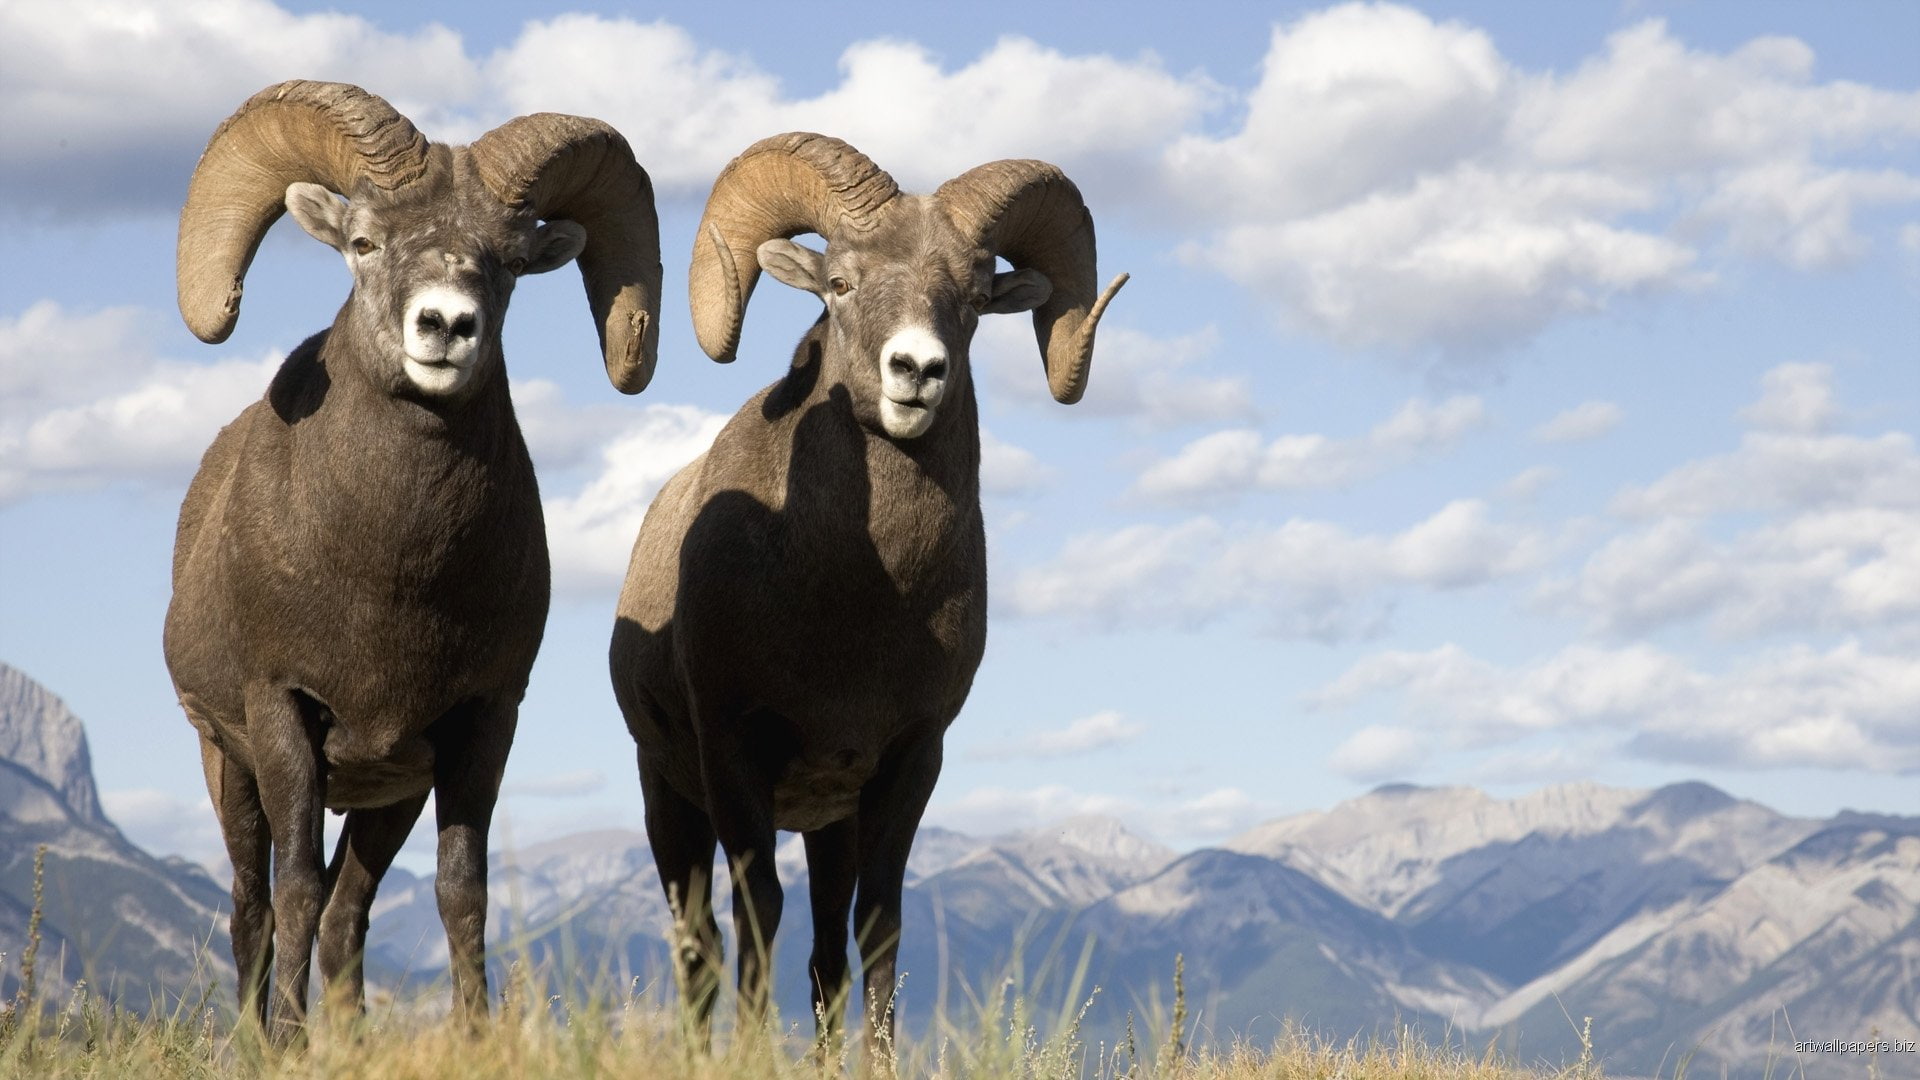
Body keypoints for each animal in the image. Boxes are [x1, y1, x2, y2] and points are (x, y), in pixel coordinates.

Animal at [164, 80, 661, 1039]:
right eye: (363, 243)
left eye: (507, 263)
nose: (445, 326)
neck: (391, 582)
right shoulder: (281, 716)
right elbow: (293, 889)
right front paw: (289, 1045)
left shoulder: (477, 724)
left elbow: (460, 893)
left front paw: (474, 1035)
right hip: (226, 766)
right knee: (254, 908)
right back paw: (258, 1038)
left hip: (388, 795)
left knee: (348, 913)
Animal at [609, 132, 1125, 1047]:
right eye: (842, 283)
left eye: (972, 299)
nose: (917, 370)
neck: (857, 607)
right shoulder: (734, 754)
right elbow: (757, 913)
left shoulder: (904, 763)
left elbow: (875, 929)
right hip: (668, 797)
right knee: (699, 944)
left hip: (827, 826)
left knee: (822, 957)